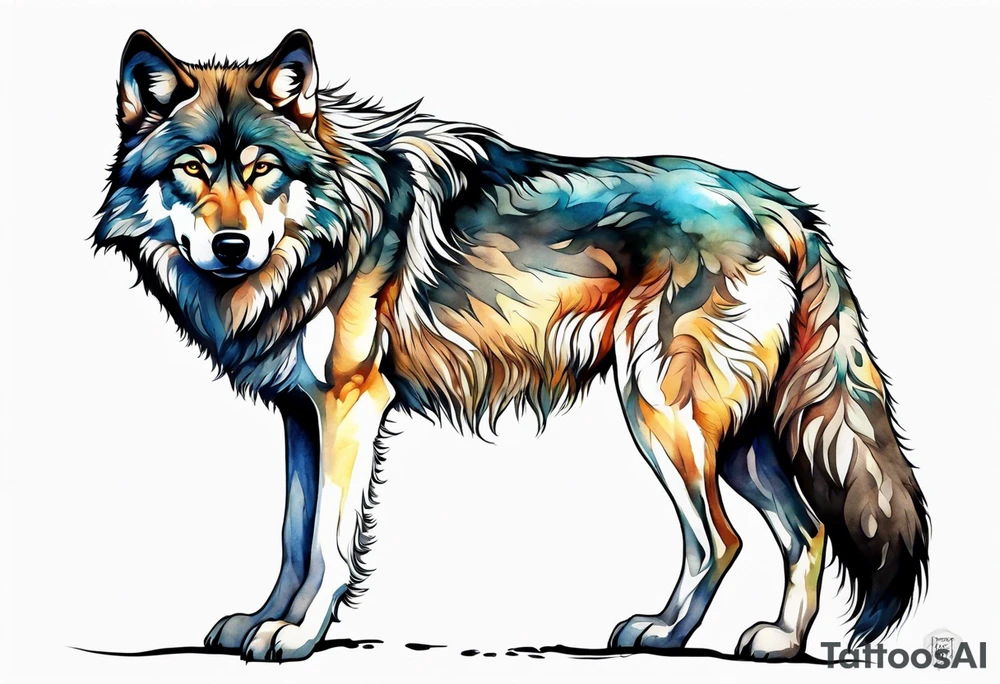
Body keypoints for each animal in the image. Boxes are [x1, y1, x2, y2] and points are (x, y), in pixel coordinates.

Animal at [93, 29, 929, 662]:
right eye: (191, 171)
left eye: (262, 170)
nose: (231, 246)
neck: (327, 232)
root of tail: (776, 203)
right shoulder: (303, 416)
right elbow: (293, 536)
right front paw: (265, 620)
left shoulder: (352, 406)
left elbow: (329, 544)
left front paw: (297, 636)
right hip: (735, 438)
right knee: (805, 528)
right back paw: (780, 641)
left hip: (664, 415)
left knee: (721, 539)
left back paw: (663, 634)